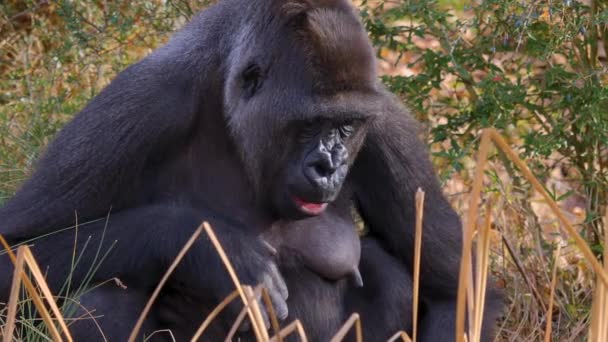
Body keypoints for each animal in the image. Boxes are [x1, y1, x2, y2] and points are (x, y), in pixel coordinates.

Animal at [0, 0, 502, 340]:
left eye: (346, 126)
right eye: (309, 124)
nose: (327, 167)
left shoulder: (385, 122)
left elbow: (456, 292)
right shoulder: (144, 103)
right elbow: (16, 253)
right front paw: (210, 245)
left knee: (391, 272)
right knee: (102, 297)